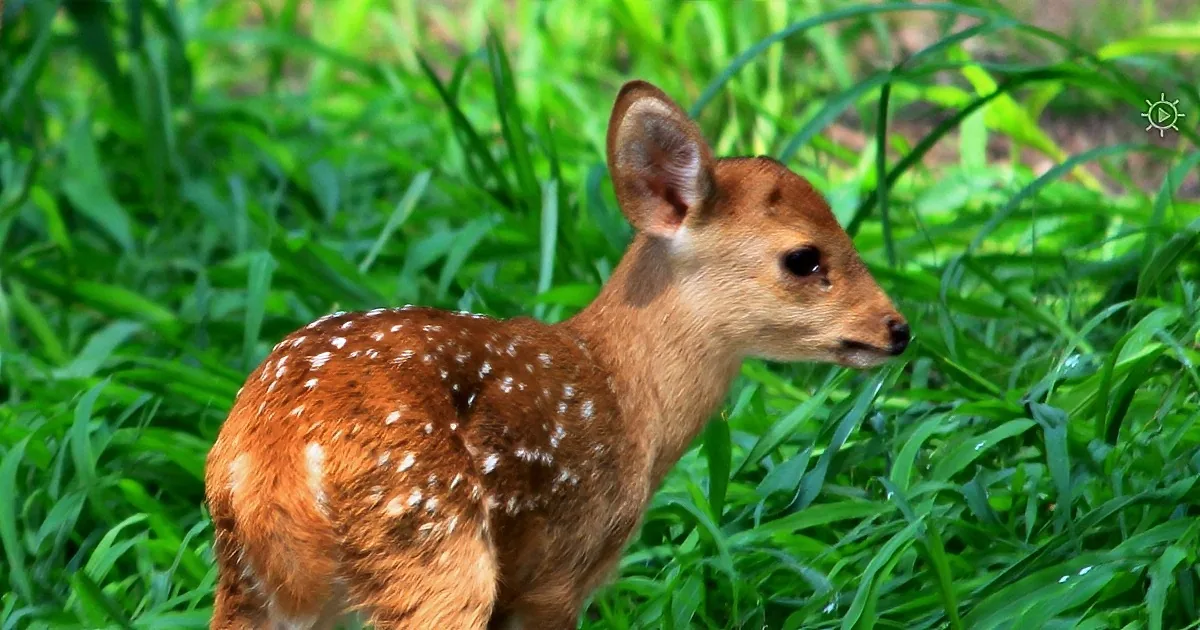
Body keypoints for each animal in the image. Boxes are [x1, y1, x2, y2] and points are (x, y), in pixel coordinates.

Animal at [203, 79, 910, 630]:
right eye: (803, 257)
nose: (897, 328)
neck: (628, 398)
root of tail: (273, 455)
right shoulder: (560, 572)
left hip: (250, 584)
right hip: (434, 551)